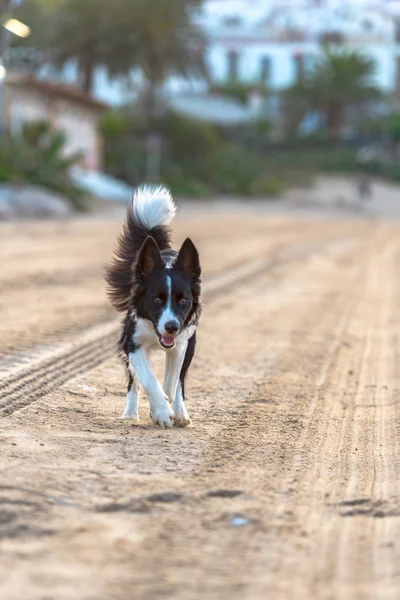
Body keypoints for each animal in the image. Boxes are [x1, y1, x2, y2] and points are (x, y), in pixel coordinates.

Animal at [105, 185, 202, 428]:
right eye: (156, 300)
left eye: (183, 300)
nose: (171, 327)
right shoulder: (133, 342)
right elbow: (148, 379)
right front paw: (161, 411)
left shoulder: (181, 343)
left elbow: (172, 382)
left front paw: (168, 410)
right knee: (133, 381)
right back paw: (130, 414)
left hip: (190, 343)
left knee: (180, 381)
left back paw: (180, 412)